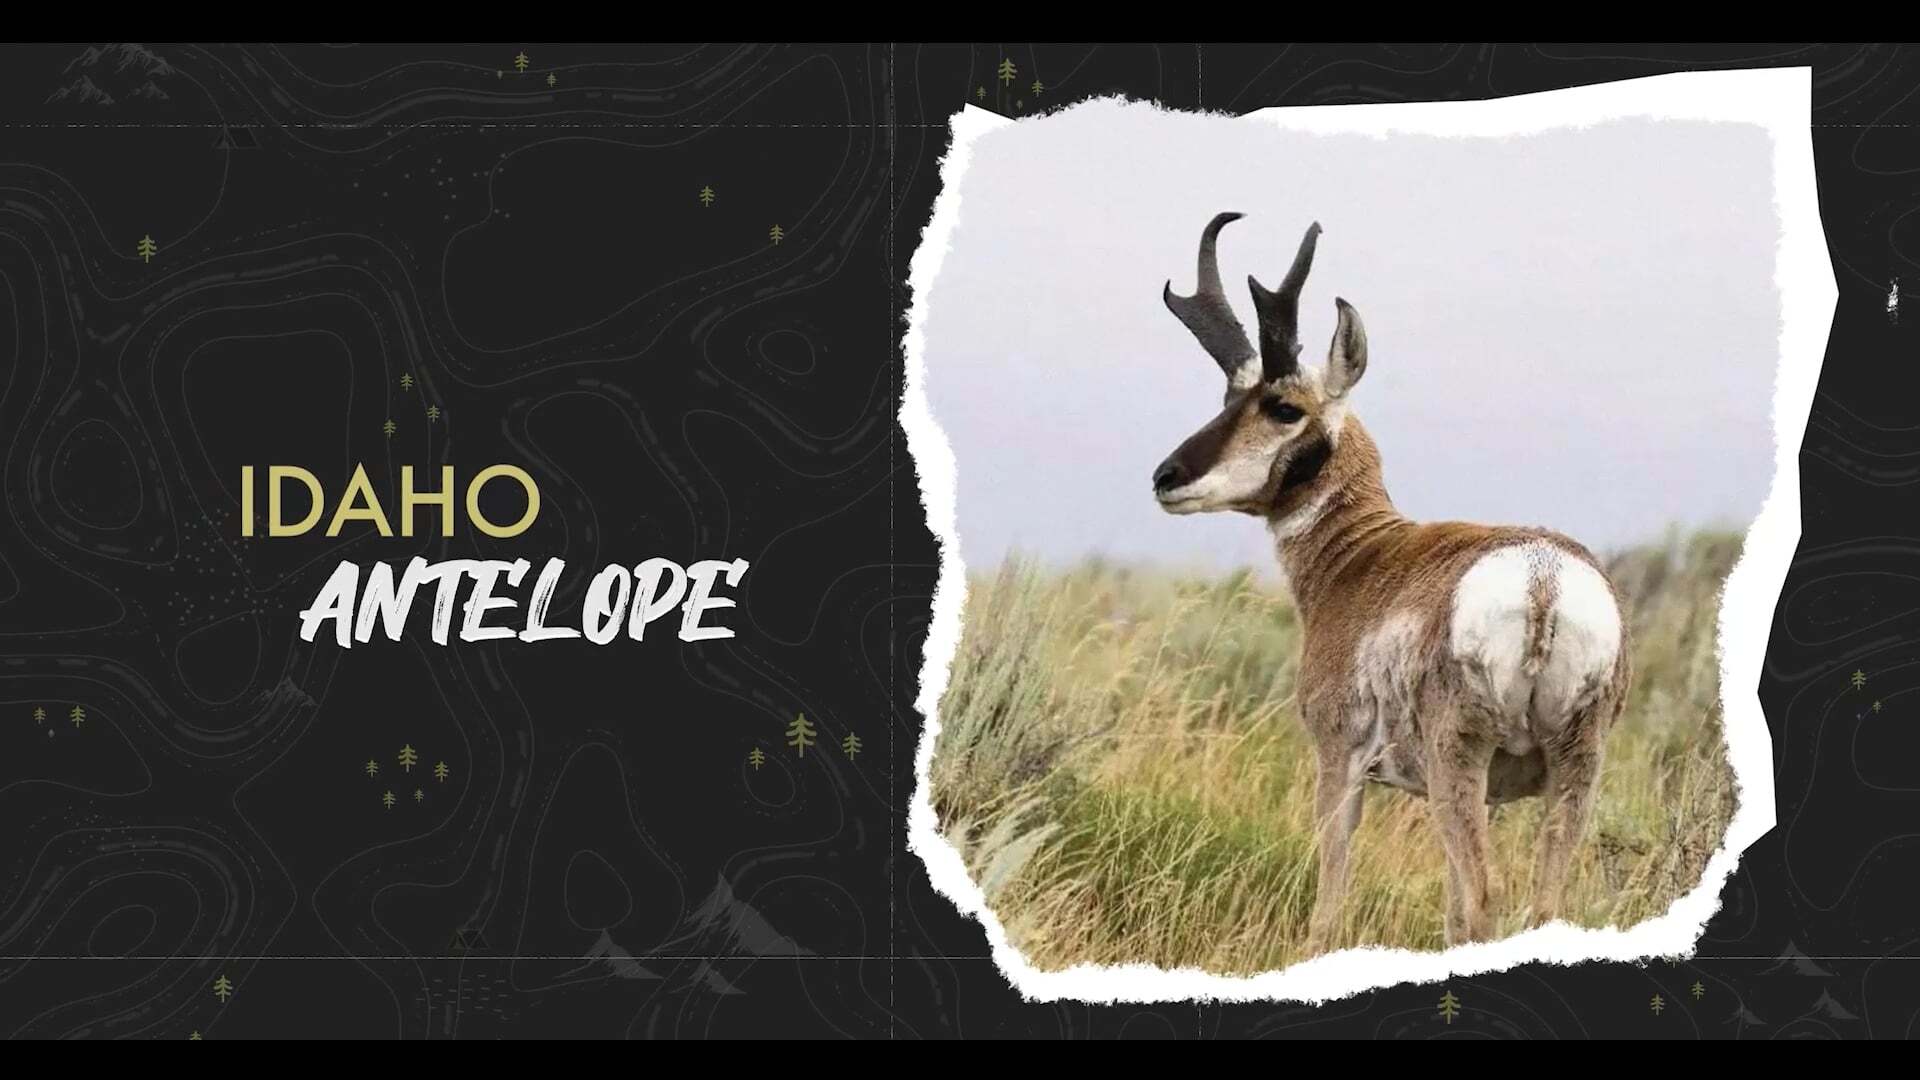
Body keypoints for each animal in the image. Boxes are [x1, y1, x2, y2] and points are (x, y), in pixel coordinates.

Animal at [1151, 213, 1631, 951]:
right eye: (1230, 396)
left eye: (1282, 406)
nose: (1166, 476)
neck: (1365, 556)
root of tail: (1542, 578)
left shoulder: (1339, 763)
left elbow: (1329, 902)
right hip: (1572, 769)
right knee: (1535, 907)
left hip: (1459, 761)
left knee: (1483, 903)